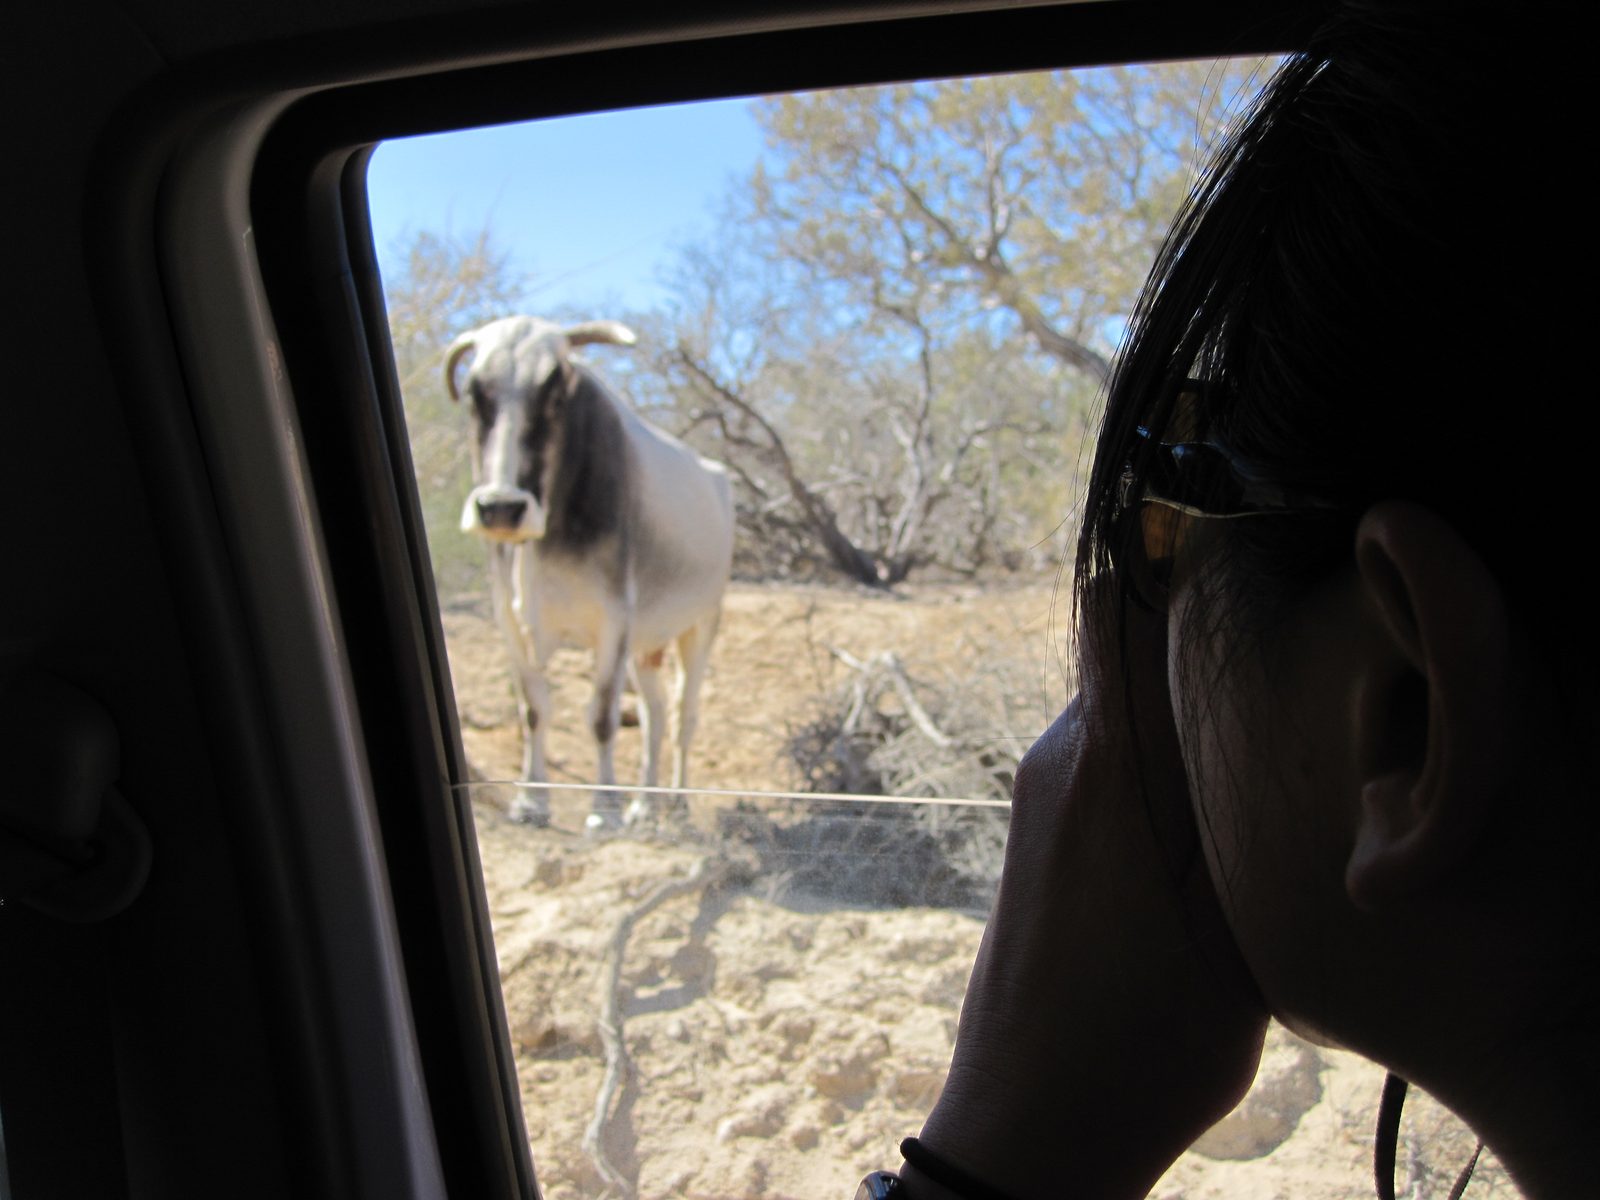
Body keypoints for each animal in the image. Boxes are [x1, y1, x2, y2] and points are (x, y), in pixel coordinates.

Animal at [445, 316, 734, 830]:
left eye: (555, 390)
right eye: (476, 392)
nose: (501, 508)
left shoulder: (613, 622)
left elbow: (601, 718)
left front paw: (604, 808)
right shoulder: (510, 623)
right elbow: (533, 710)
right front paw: (531, 801)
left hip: (700, 624)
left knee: (684, 716)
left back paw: (677, 806)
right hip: (646, 645)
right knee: (655, 715)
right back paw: (645, 804)